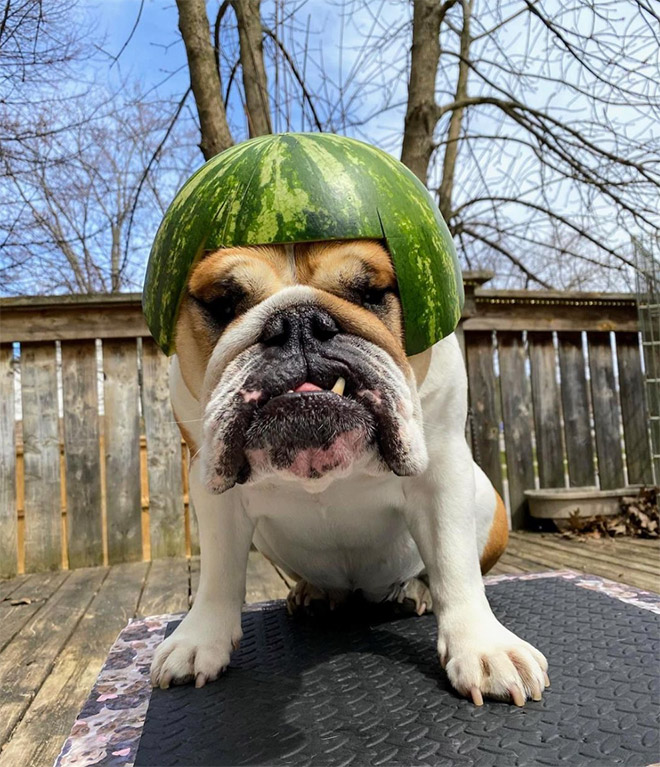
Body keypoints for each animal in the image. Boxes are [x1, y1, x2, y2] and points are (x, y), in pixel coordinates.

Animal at [147, 132, 548, 708]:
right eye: (223, 302)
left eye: (370, 293)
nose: (297, 322)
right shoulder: (212, 487)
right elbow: (219, 572)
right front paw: (198, 640)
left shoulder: (443, 470)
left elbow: (454, 563)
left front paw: (484, 647)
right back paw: (315, 592)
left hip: (488, 505)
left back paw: (414, 590)